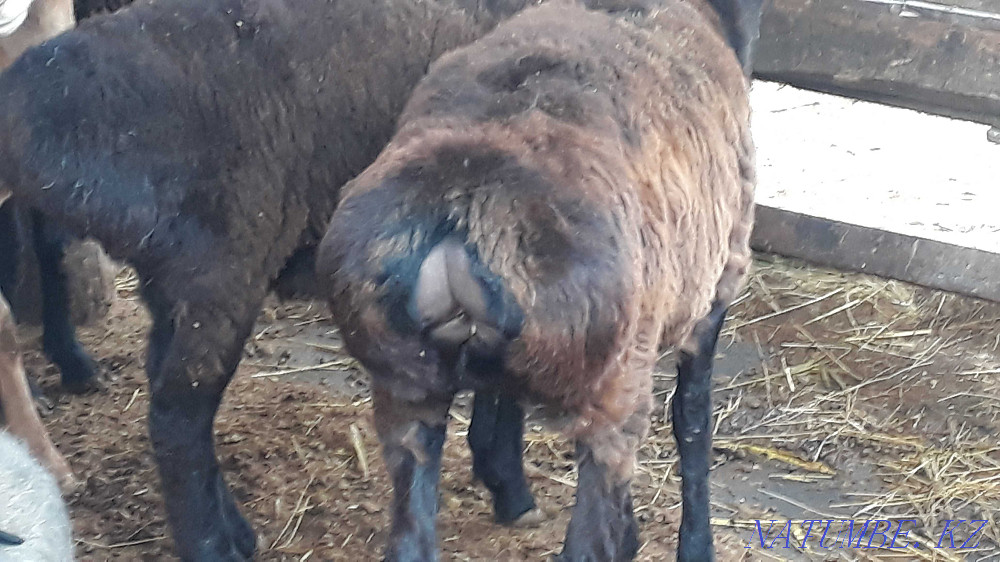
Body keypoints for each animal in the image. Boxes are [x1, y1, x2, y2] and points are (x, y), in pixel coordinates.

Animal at [316, 0, 759, 559]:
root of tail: (463, 207)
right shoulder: (717, 286)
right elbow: (693, 419)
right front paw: (693, 544)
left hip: (406, 384)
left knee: (411, 535)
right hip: (611, 386)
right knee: (589, 536)